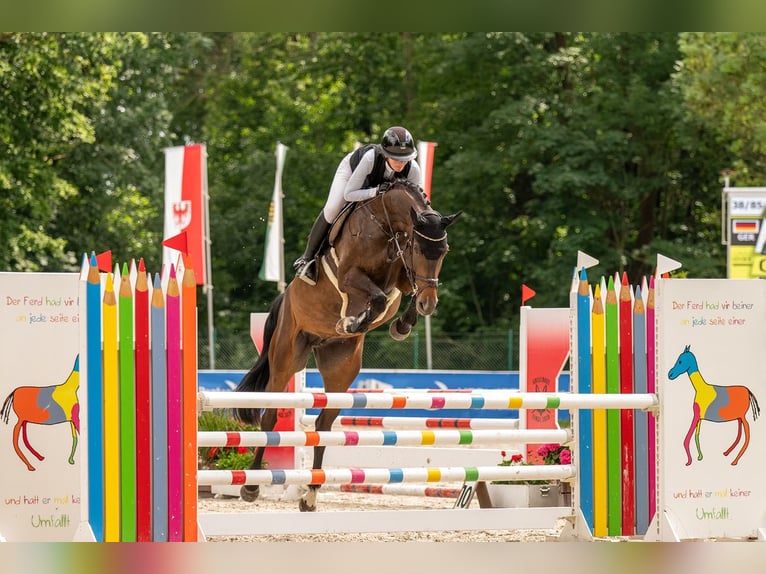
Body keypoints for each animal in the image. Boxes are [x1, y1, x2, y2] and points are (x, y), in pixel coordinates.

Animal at [234, 181, 462, 512]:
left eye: (444, 251)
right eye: (420, 249)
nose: (429, 304)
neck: (387, 224)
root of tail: (285, 297)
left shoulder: (402, 278)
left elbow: (401, 293)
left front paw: (401, 325)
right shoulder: (350, 275)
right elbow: (376, 296)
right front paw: (354, 322)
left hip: (340, 370)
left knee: (323, 425)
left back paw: (310, 495)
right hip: (286, 358)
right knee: (270, 417)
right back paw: (251, 486)